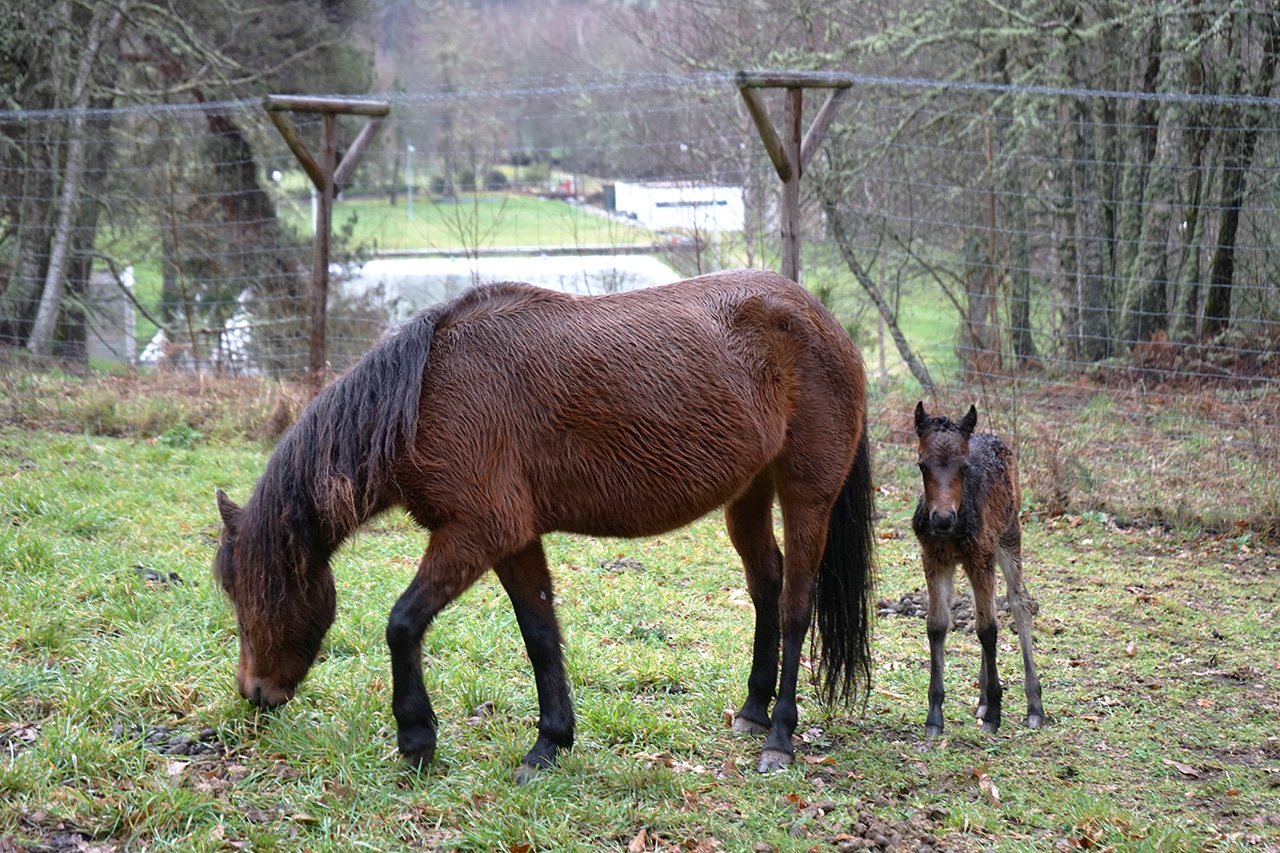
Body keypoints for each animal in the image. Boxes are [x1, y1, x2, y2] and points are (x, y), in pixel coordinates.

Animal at [215, 268, 875, 773]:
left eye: (257, 589)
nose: (255, 694)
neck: (429, 391)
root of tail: (819, 317)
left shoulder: (477, 533)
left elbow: (402, 623)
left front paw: (417, 739)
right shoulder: (514, 540)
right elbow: (539, 634)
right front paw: (550, 743)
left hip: (806, 496)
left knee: (795, 607)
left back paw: (779, 738)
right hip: (748, 496)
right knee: (767, 586)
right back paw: (753, 710)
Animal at [911, 402, 1039, 732]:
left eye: (965, 467)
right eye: (922, 465)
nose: (942, 518)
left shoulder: (981, 557)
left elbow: (988, 629)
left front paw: (995, 712)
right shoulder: (934, 558)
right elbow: (937, 625)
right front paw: (935, 716)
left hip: (1009, 535)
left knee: (1020, 602)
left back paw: (1034, 705)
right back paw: (981, 700)